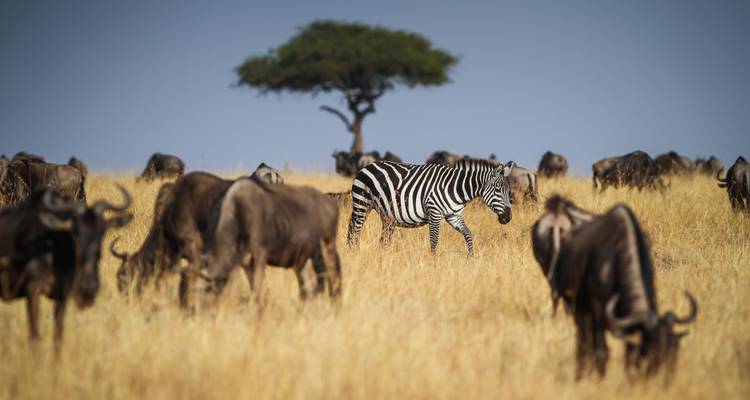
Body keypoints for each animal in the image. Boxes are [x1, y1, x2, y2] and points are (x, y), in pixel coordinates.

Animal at [347, 159, 514, 256]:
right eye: (498, 189)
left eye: (508, 191)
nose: (508, 218)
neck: (456, 188)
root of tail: (368, 165)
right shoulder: (434, 212)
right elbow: (434, 240)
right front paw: (433, 264)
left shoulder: (454, 216)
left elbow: (468, 234)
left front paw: (471, 258)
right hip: (362, 203)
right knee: (355, 232)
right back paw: (354, 253)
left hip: (387, 215)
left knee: (383, 240)